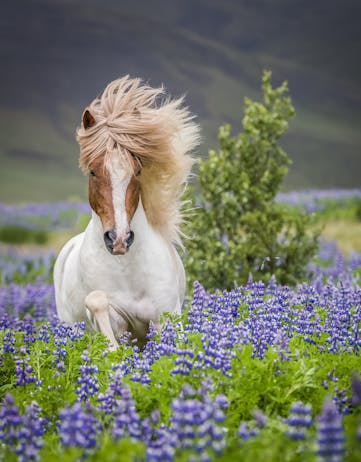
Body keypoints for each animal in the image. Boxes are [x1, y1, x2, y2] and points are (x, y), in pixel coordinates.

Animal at [53, 76, 200, 350]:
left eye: (138, 171)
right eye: (92, 172)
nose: (119, 239)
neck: (126, 269)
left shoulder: (167, 317)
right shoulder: (118, 321)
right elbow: (100, 309)